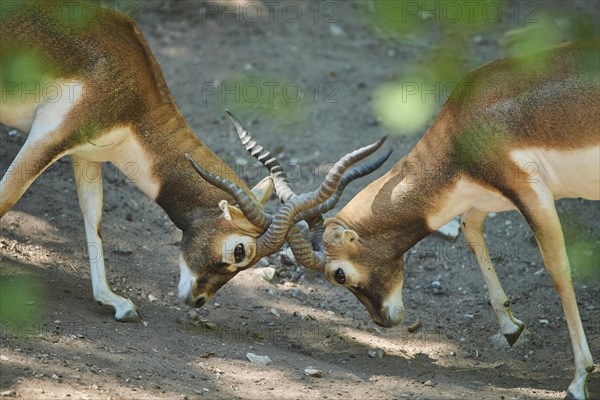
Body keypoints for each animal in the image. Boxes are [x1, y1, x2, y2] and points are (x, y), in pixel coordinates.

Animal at [1, 3, 390, 322]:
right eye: (240, 250)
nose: (198, 300)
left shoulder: (86, 155)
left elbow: (93, 220)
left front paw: (116, 302)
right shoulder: (49, 136)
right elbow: (7, 197)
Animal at [216, 42, 600, 398]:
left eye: (338, 274)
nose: (383, 321)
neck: (463, 127)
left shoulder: (531, 194)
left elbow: (559, 271)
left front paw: (579, 379)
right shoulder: (484, 197)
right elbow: (469, 228)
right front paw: (510, 328)